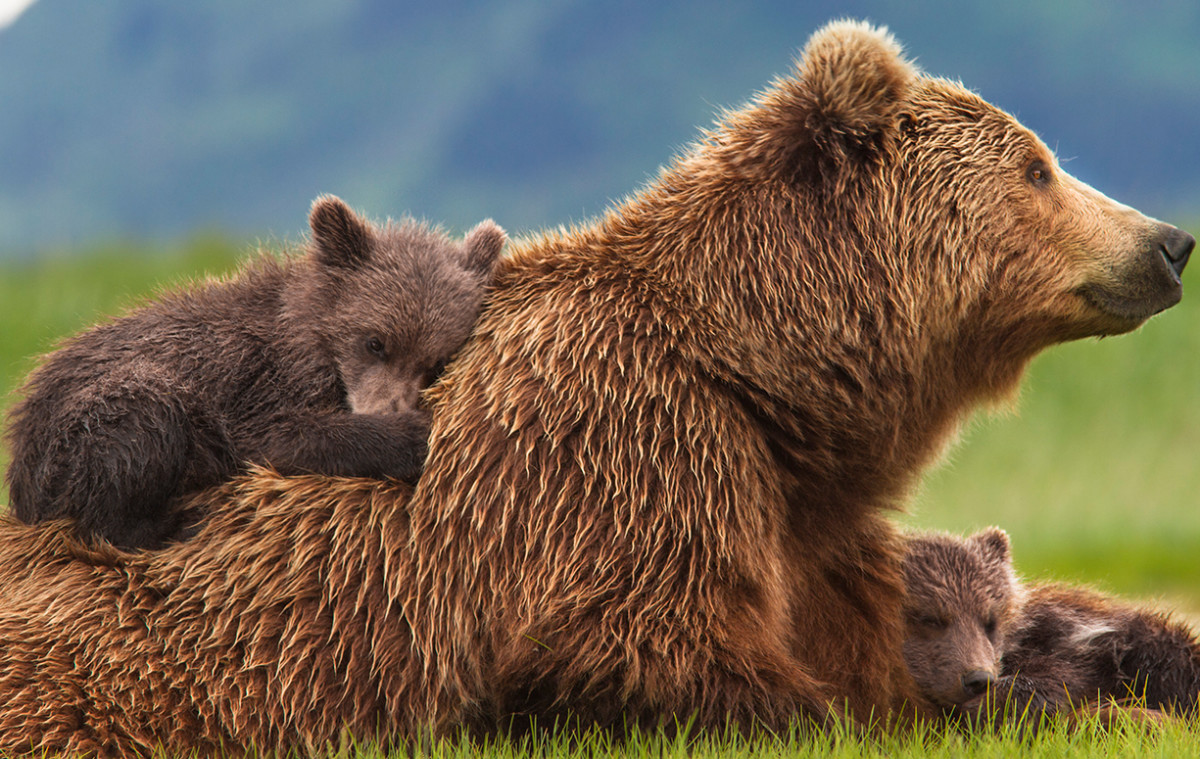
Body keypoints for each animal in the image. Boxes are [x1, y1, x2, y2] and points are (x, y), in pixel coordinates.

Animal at [4, 195, 505, 549]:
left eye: (434, 362)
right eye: (376, 341)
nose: (389, 409)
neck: (310, 338)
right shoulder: (255, 382)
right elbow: (280, 437)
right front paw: (411, 436)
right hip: (80, 431)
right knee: (141, 422)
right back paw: (175, 523)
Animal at [901, 528, 1200, 726]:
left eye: (990, 620)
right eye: (929, 618)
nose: (978, 679)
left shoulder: (1079, 642)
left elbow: (1057, 677)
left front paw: (990, 705)